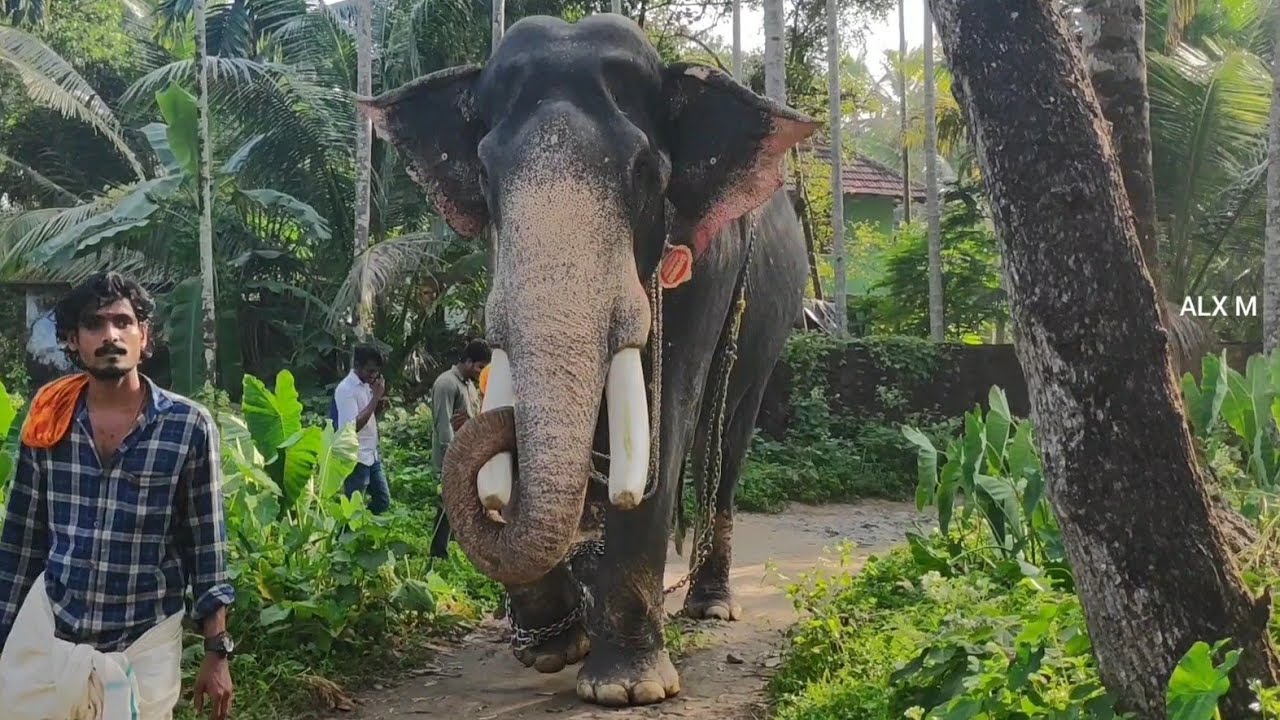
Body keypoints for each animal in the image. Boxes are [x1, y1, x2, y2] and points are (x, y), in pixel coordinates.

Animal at [357, 13, 819, 708]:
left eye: (644, 170)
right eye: (486, 174)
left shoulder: (702, 269)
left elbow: (665, 424)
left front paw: (627, 687)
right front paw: (552, 647)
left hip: (772, 327)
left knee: (726, 435)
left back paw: (708, 606)